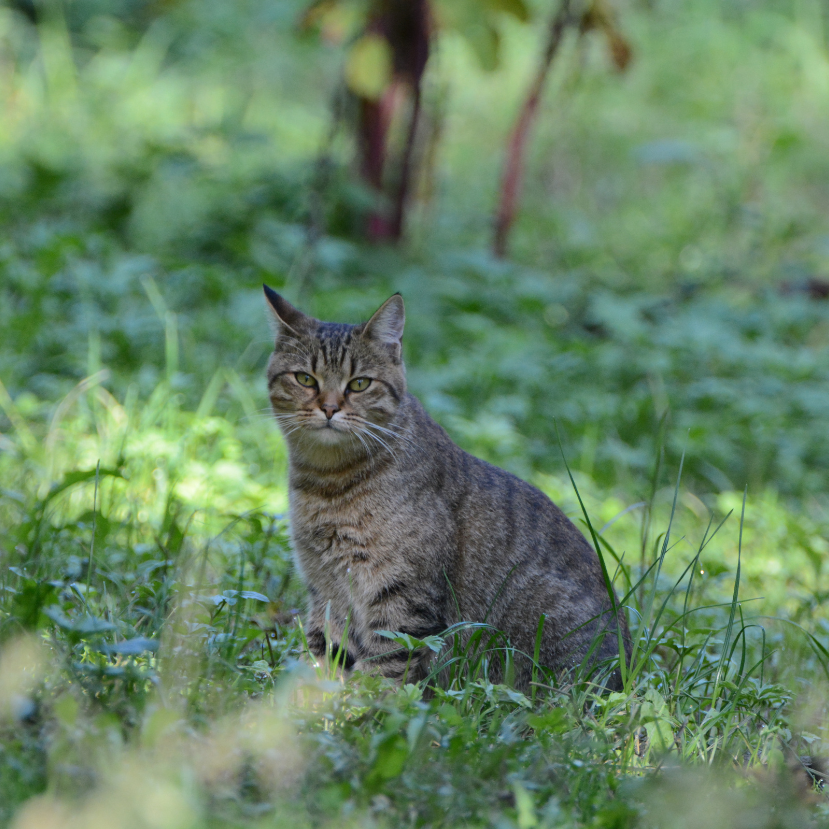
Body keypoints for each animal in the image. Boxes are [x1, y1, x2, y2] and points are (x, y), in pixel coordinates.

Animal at [262, 288, 632, 688]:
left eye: (359, 383)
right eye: (305, 379)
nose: (329, 408)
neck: (326, 484)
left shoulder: (401, 593)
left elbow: (386, 668)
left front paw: (367, 703)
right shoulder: (325, 588)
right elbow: (323, 659)